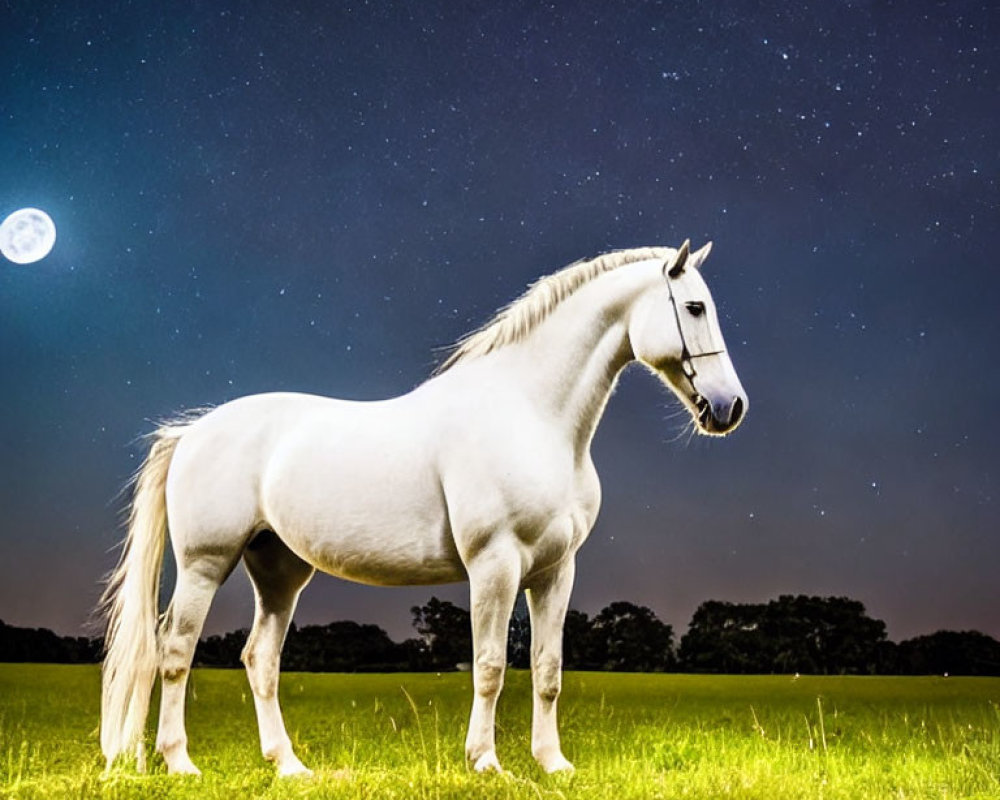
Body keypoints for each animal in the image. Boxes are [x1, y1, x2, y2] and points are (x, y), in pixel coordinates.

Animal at [101, 239, 748, 776]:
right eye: (694, 307)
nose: (729, 407)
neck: (532, 414)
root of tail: (190, 432)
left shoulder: (555, 572)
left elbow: (548, 670)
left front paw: (553, 764)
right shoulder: (494, 567)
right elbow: (490, 666)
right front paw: (486, 763)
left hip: (280, 571)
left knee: (260, 658)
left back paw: (289, 766)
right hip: (206, 564)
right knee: (175, 651)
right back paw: (179, 763)